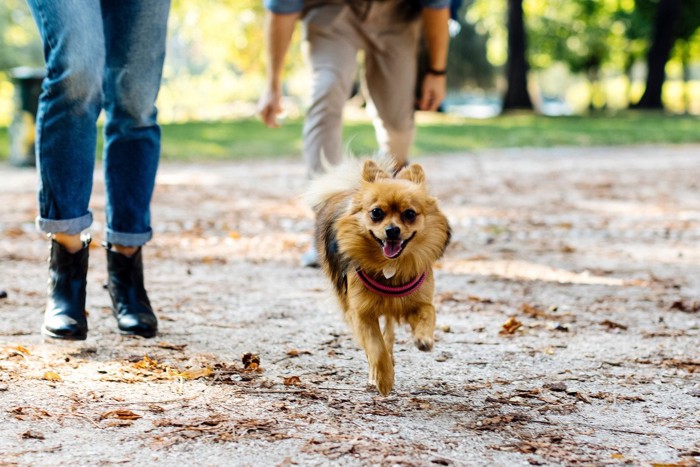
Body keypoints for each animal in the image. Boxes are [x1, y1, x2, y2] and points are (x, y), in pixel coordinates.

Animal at [304, 160, 448, 394]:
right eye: (376, 213)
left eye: (410, 214)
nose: (392, 230)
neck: (390, 265)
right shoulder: (362, 313)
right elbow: (375, 347)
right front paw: (383, 379)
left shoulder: (419, 301)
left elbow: (429, 315)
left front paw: (424, 338)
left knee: (389, 334)